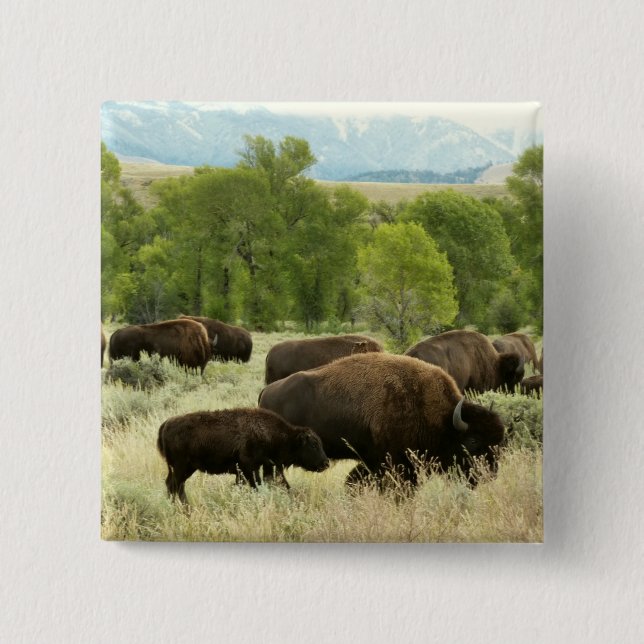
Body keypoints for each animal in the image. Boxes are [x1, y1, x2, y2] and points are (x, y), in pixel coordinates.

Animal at [157, 408, 330, 502]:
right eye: (313, 444)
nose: (326, 463)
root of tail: (166, 424)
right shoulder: (250, 468)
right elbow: (256, 486)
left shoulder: (256, 469)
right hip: (180, 467)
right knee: (175, 486)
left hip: (186, 468)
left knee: (175, 486)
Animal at [259, 352, 505, 486]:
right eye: (472, 441)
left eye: (499, 442)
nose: (490, 475)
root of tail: (266, 391)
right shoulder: (396, 461)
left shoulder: (375, 460)